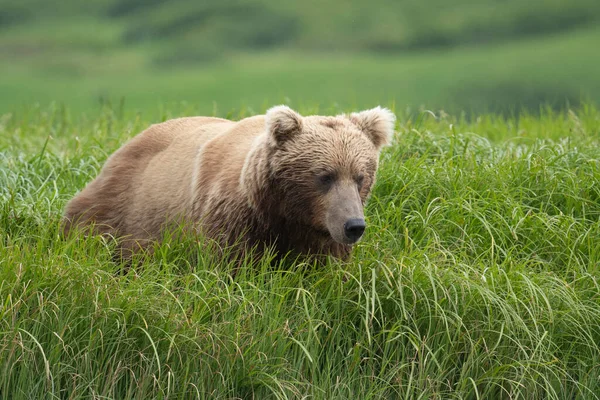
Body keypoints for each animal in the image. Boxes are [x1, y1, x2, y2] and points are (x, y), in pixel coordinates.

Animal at [64, 106, 394, 262]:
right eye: (324, 175)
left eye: (360, 177)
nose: (354, 226)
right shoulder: (233, 220)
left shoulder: (319, 232)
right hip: (123, 212)